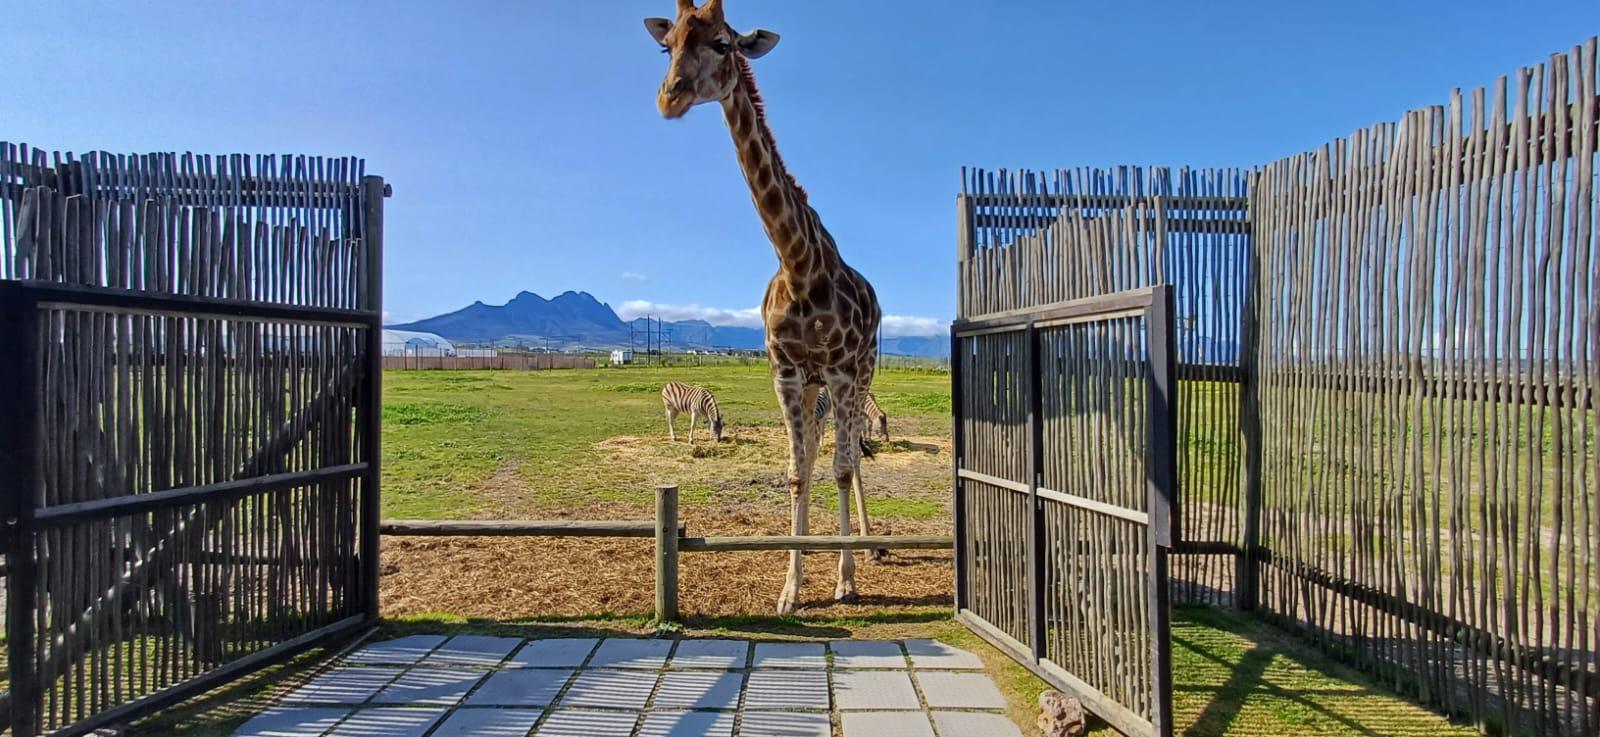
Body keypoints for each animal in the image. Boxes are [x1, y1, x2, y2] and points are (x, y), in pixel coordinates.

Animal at [645, 0, 883, 613]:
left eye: (723, 43)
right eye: (668, 44)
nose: (669, 96)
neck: (800, 265)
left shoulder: (841, 371)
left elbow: (842, 468)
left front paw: (844, 580)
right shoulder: (786, 372)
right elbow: (799, 473)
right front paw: (791, 590)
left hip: (862, 373)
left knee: (850, 457)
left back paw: (866, 549)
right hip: (818, 385)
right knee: (821, 453)